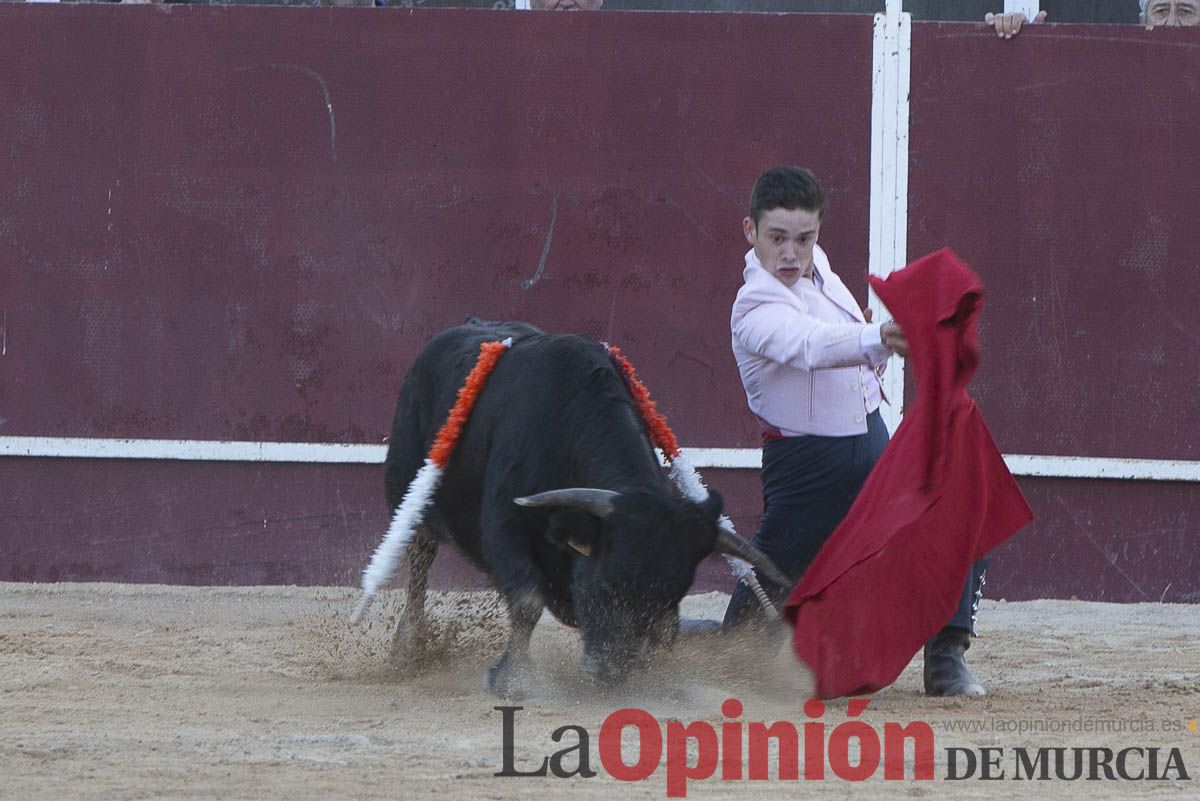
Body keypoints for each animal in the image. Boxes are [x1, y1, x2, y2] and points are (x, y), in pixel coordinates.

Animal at [379, 318, 782, 695]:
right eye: (605, 582)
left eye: (674, 593)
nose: (610, 670)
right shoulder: (504, 525)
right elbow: (527, 600)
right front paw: (508, 678)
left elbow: (666, 630)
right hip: (409, 492)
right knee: (420, 558)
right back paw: (407, 648)